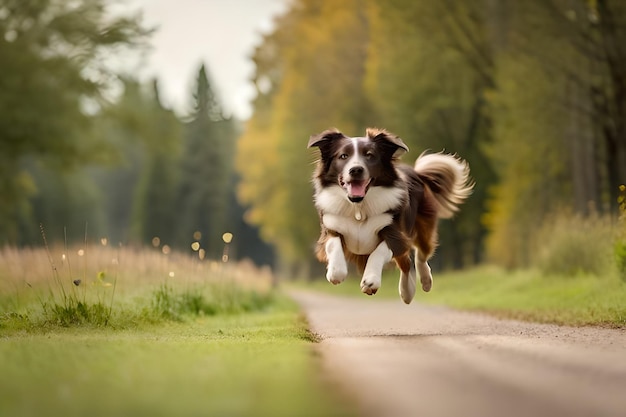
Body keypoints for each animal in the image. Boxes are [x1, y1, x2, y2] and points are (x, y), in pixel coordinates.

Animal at [308, 127, 472, 302]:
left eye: (370, 155)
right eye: (343, 156)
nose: (356, 170)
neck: (358, 207)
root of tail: (415, 172)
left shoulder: (394, 232)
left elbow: (380, 251)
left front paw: (370, 280)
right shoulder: (330, 226)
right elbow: (333, 244)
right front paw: (336, 272)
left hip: (423, 226)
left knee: (419, 255)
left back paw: (422, 283)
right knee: (406, 261)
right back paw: (407, 291)